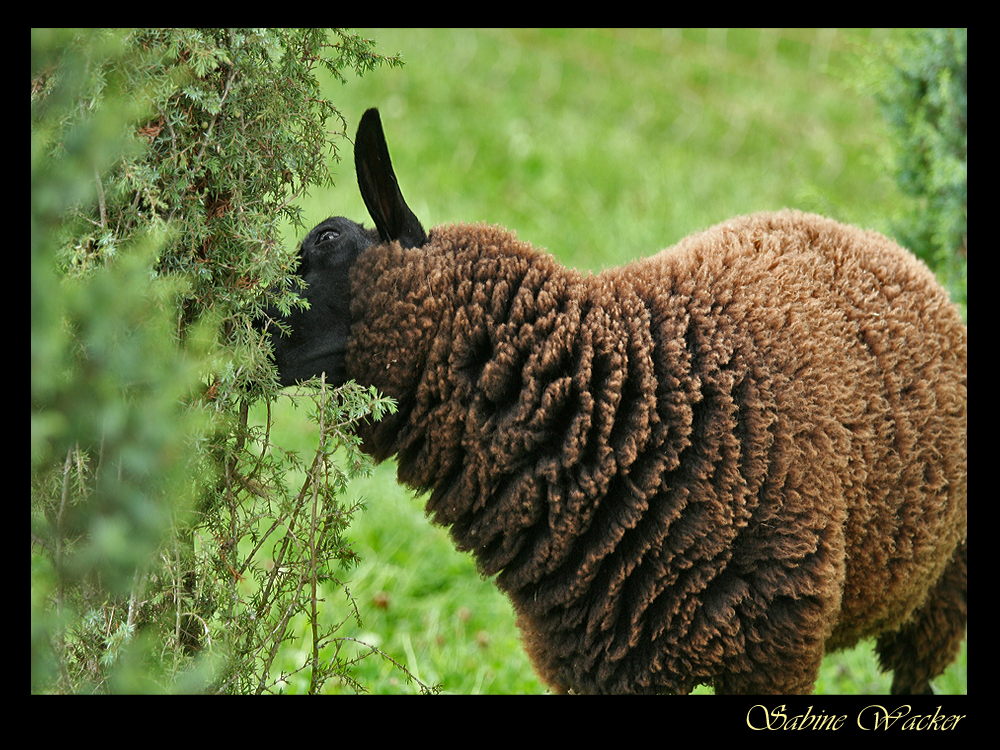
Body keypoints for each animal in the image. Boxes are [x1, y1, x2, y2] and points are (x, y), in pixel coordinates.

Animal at [260, 108, 968, 696]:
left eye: (325, 242)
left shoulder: (774, 652)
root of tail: (888, 251)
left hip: (938, 590)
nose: (232, 331)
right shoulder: (609, 665)